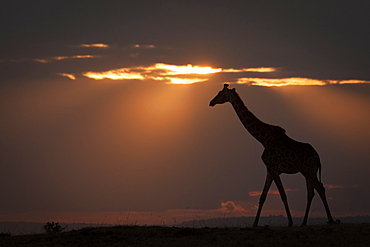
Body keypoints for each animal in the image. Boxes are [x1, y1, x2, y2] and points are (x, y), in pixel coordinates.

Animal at [210, 84, 334, 227]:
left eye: (220, 93)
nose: (211, 102)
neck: (262, 139)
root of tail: (317, 157)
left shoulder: (274, 168)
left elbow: (283, 195)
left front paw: (290, 222)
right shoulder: (269, 169)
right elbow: (263, 196)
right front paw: (254, 224)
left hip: (309, 170)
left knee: (320, 188)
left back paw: (330, 220)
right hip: (307, 171)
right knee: (311, 192)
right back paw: (303, 222)